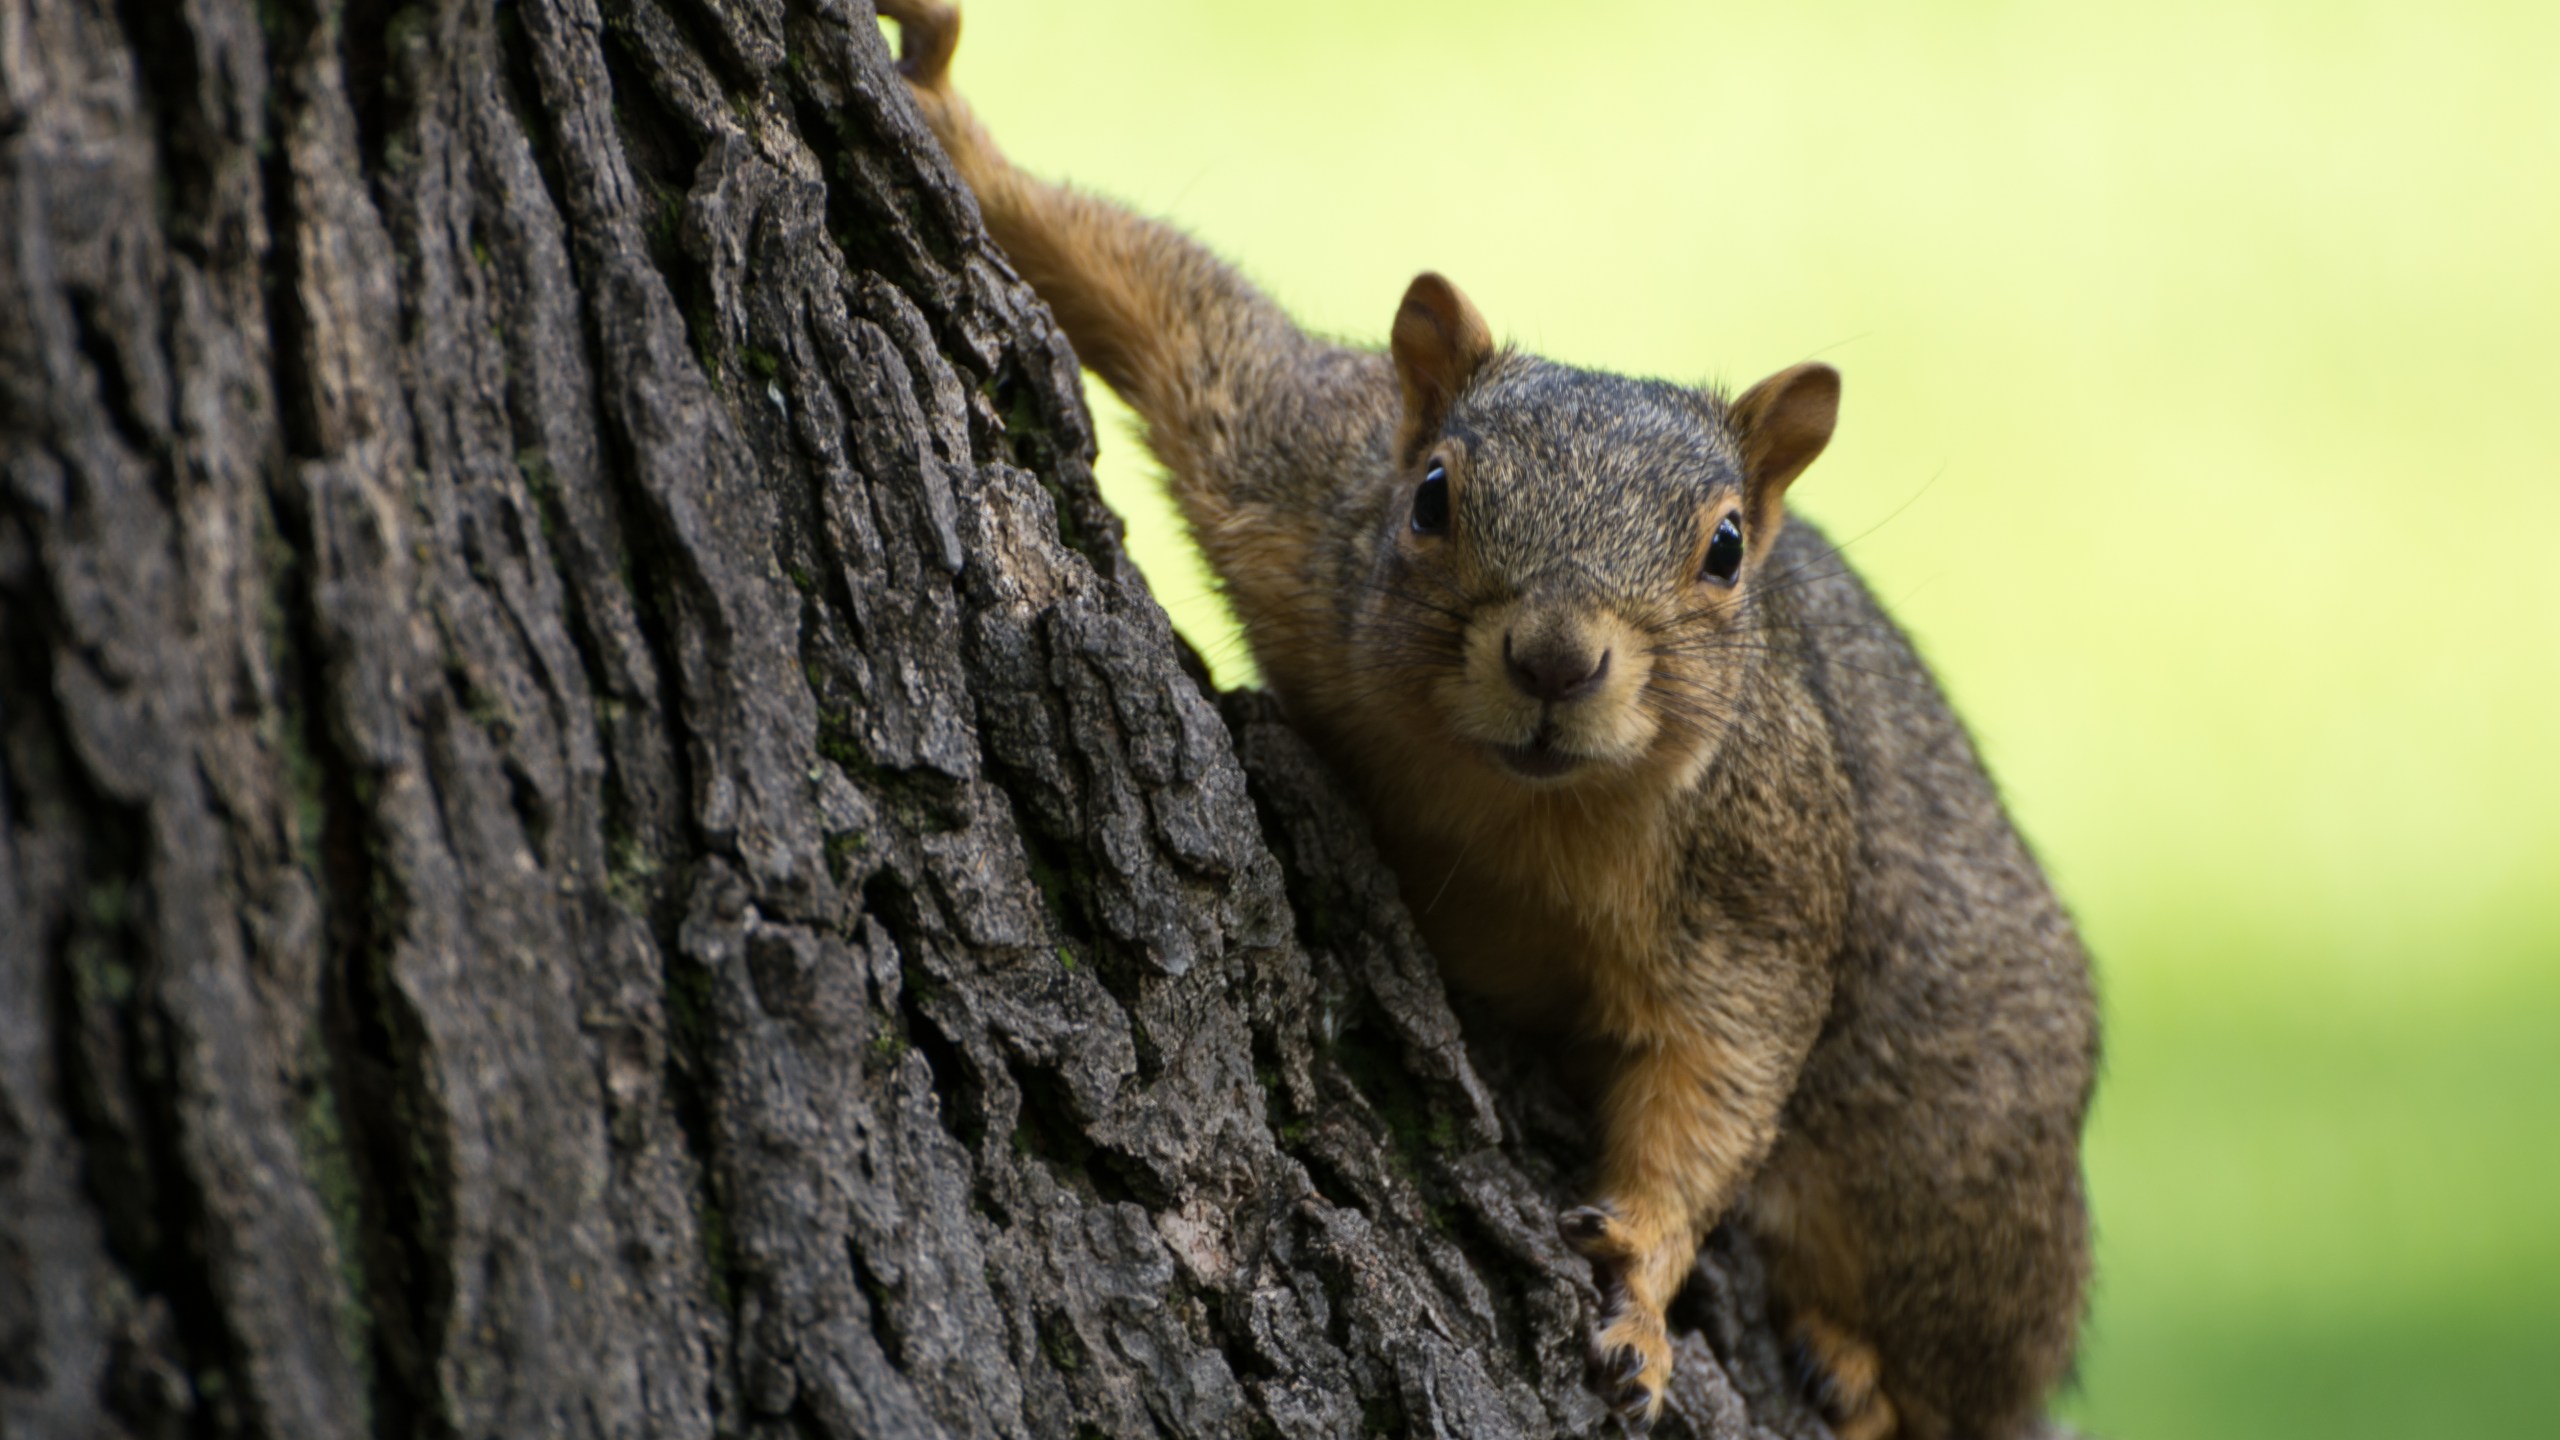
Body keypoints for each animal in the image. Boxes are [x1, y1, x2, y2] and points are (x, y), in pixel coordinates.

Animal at [880, 5, 2099, 1424]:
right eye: (1431, 495)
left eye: (1726, 550)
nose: (1555, 659)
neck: (1510, 797)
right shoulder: (1303, 472)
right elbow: (1175, 312)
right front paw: (945, 114)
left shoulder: (1756, 872)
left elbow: (1719, 1070)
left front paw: (1640, 1282)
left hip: (1956, 1161)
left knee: (1970, 1368)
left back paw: (1865, 1373)